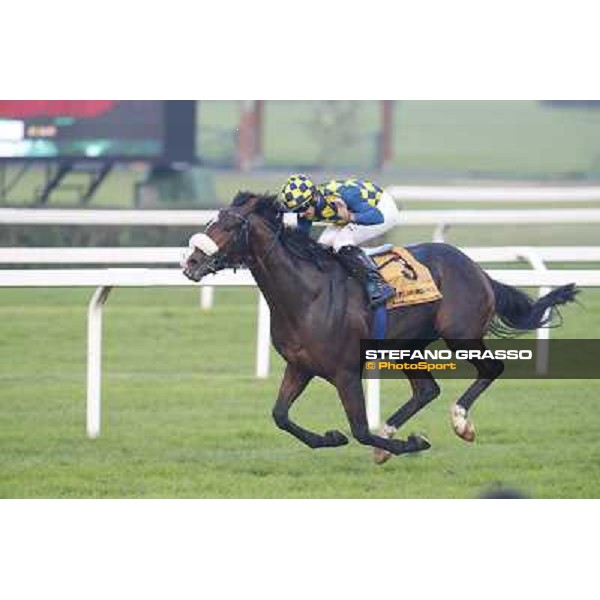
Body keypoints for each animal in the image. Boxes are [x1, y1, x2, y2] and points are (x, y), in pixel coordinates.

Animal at [183, 192, 576, 464]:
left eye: (231, 225)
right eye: (212, 220)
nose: (191, 261)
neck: (306, 294)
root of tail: (477, 269)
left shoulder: (344, 371)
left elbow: (359, 429)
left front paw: (410, 443)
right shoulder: (299, 366)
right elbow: (280, 416)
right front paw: (332, 438)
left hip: (461, 334)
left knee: (491, 369)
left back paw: (460, 422)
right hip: (406, 347)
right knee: (426, 390)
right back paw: (391, 429)